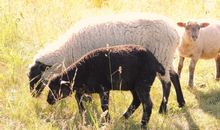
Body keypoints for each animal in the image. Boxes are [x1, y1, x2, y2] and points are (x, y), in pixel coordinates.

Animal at [27, 12, 186, 112]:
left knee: (167, 83)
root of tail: (176, 33)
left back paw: (163, 109)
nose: (33, 96)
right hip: (166, 57)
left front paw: (88, 102)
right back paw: (181, 103)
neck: (66, 51)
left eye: (36, 77)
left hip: (162, 55)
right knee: (175, 76)